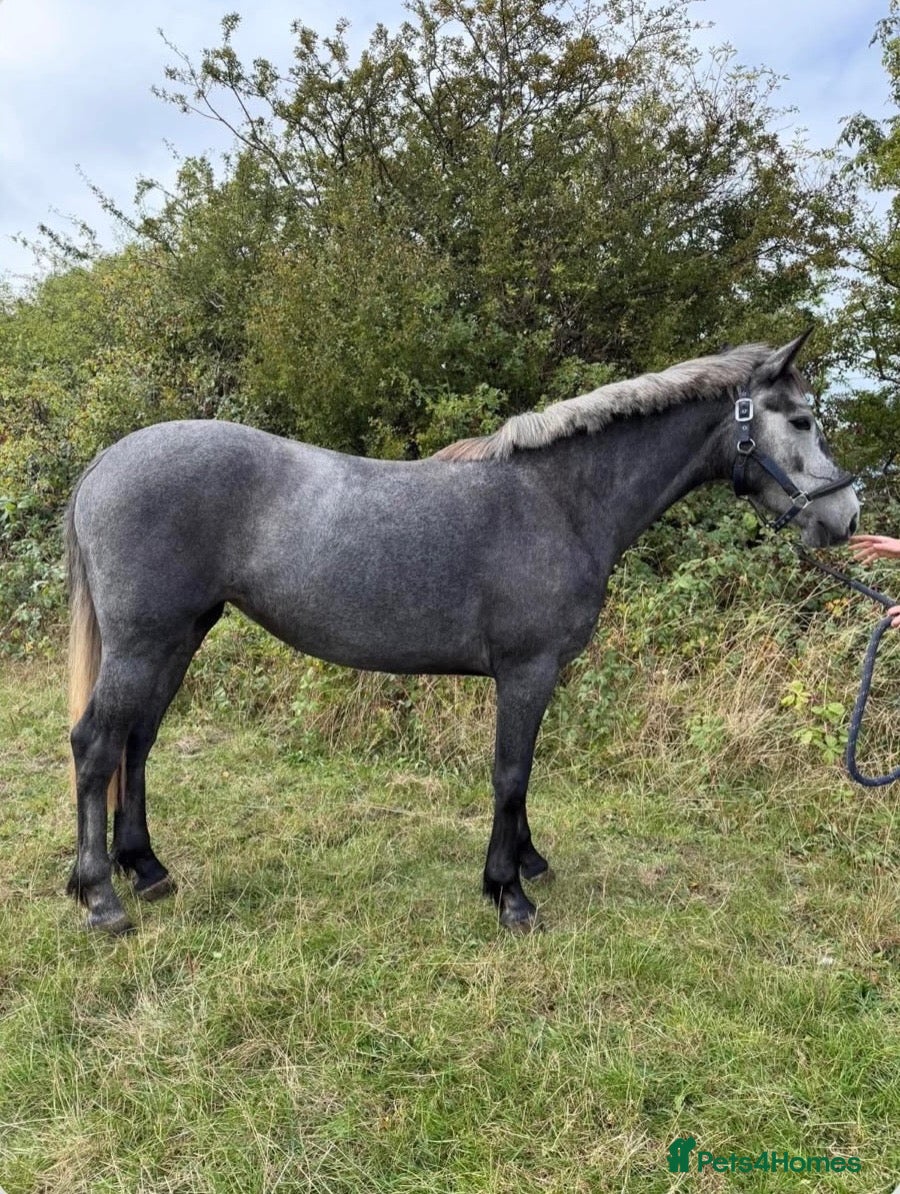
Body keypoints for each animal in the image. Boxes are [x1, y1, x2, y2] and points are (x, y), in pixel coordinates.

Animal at [64, 332, 860, 933]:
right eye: (802, 421)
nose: (845, 517)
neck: (559, 500)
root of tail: (107, 461)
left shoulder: (531, 676)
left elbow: (521, 775)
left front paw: (527, 863)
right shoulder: (528, 670)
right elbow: (511, 773)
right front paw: (509, 894)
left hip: (177, 638)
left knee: (137, 742)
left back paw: (147, 869)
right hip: (143, 643)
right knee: (97, 746)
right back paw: (101, 897)